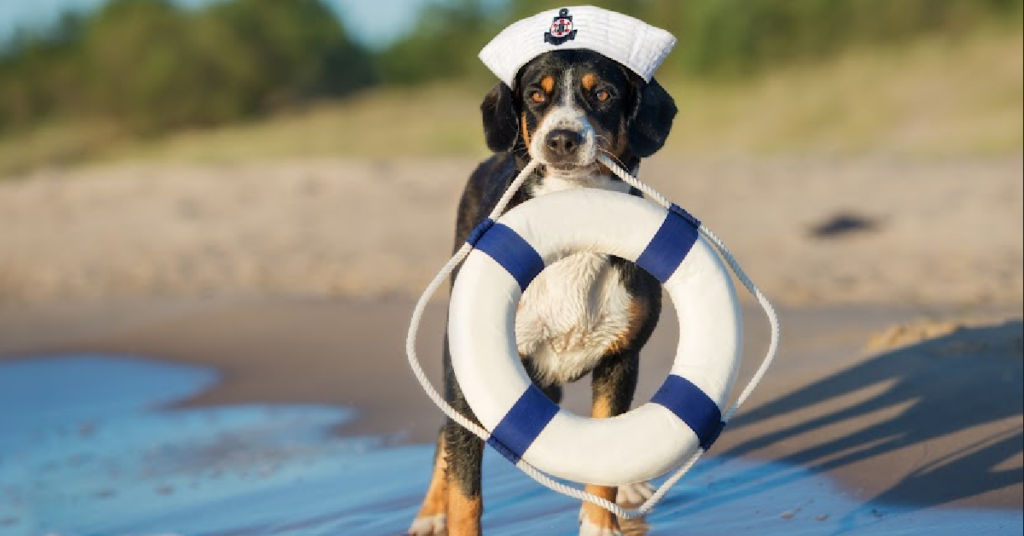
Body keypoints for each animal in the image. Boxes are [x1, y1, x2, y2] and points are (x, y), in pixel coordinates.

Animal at [407, 7, 679, 536]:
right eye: (537, 95)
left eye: (603, 94)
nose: (561, 138)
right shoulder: (469, 375)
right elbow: (465, 486)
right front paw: (451, 514)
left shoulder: (621, 359)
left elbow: (606, 452)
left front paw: (600, 524)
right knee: (445, 437)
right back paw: (429, 513)